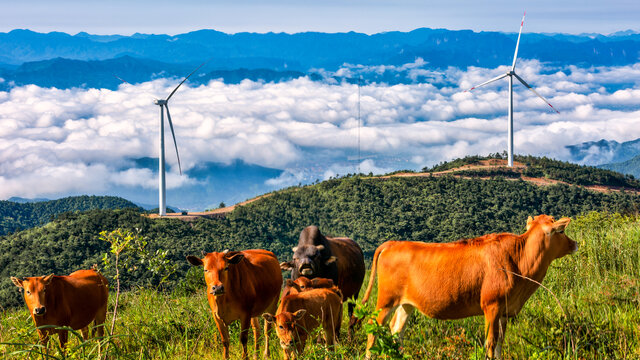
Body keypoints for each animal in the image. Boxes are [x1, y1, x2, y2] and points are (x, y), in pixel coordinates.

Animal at [362, 215, 576, 358]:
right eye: (561, 231)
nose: (574, 243)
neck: (519, 261)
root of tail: (393, 243)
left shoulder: (505, 310)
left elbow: (500, 343)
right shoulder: (491, 305)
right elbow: (490, 342)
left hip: (406, 304)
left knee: (396, 332)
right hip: (386, 300)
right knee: (373, 328)